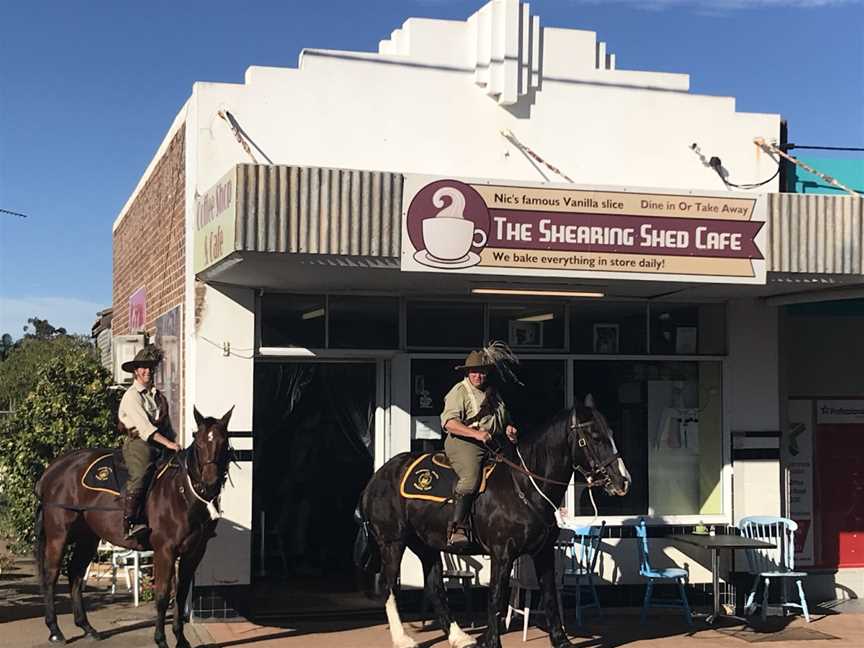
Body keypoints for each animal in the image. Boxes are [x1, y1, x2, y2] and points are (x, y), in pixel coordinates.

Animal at [35, 408, 233, 644]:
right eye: (200, 442)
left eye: (224, 442)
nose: (210, 482)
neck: (183, 492)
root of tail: (52, 469)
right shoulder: (165, 550)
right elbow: (162, 594)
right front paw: (161, 639)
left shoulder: (194, 552)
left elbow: (181, 593)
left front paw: (181, 639)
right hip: (58, 535)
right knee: (51, 576)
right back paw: (55, 630)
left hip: (88, 537)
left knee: (75, 573)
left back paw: (87, 627)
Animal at [362, 404, 632, 648]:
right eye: (595, 436)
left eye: (610, 432)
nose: (623, 480)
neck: (524, 486)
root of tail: (378, 477)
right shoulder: (502, 554)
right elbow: (495, 598)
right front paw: (493, 642)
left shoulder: (543, 553)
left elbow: (550, 598)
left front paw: (561, 640)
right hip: (393, 543)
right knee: (389, 586)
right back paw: (402, 639)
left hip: (425, 545)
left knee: (435, 587)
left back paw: (459, 637)